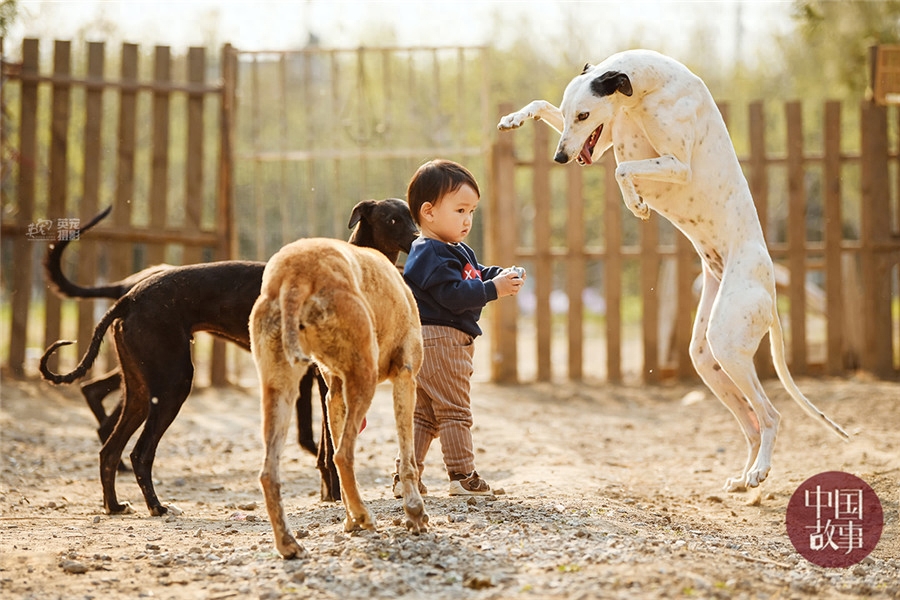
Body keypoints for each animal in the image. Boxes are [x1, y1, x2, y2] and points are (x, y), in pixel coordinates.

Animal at [39, 198, 418, 516]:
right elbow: (325, 446)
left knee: (109, 449)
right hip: (173, 385)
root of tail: (129, 296)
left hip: (141, 391)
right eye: (393, 218)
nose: (418, 237)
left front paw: (333, 496)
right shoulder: (323, 381)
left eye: (412, 214)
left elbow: (325, 448)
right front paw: (337, 497)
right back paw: (157, 507)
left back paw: (115, 506)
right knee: (139, 452)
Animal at [248, 236, 428, 556]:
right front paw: (414, 513)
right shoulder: (405, 378)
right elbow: (408, 460)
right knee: (343, 455)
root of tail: (294, 276)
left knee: (270, 473)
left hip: (280, 390)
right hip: (364, 379)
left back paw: (289, 544)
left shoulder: (333, 395)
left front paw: (350, 521)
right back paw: (365, 515)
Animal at [496, 49, 848, 492]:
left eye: (584, 114)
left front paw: (636, 204)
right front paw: (514, 117)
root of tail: (770, 288)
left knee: (770, 414)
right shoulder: (606, 140)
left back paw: (760, 472)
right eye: (569, 112)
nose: (561, 157)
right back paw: (743, 477)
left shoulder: (677, 165)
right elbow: (546, 109)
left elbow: (623, 170)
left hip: (727, 343)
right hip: (706, 356)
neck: (648, 86)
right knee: (749, 422)